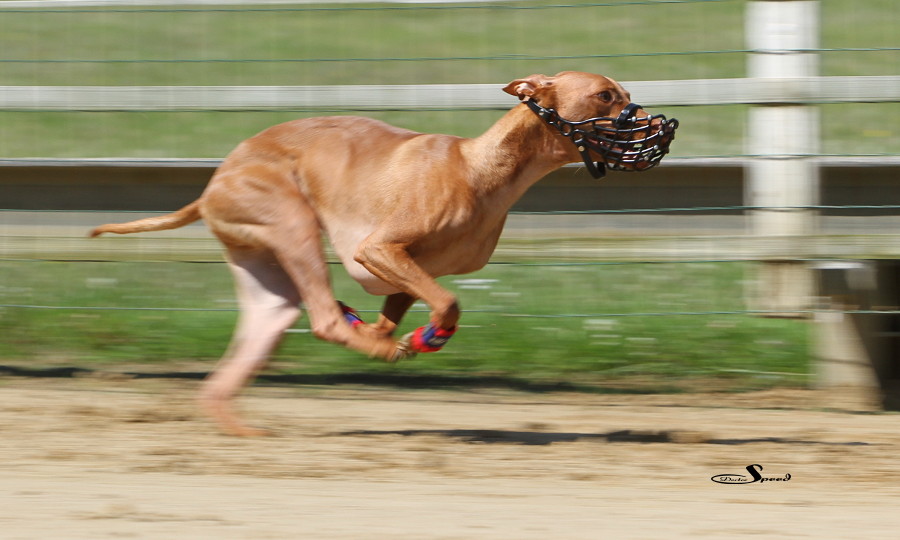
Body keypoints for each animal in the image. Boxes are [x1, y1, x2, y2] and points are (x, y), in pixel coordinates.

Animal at [95, 70, 680, 434]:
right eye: (605, 96)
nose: (664, 126)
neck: (480, 169)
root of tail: (213, 183)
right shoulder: (377, 249)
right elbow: (447, 304)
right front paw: (419, 340)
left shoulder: (407, 274)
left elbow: (400, 310)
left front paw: (387, 335)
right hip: (293, 224)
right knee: (324, 318)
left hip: (268, 287)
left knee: (258, 342)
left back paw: (245, 430)